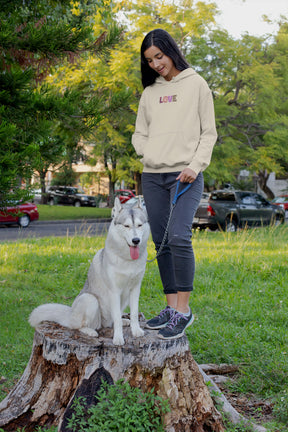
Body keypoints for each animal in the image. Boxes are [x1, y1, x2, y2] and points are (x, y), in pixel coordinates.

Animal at [28, 197, 151, 346]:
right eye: (126, 226)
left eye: (139, 225)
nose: (136, 240)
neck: (127, 260)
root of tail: (70, 314)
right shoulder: (114, 291)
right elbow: (116, 317)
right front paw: (118, 338)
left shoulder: (135, 289)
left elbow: (133, 314)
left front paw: (136, 330)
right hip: (90, 300)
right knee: (79, 326)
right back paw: (90, 331)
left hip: (123, 300)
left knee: (110, 322)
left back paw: (123, 321)